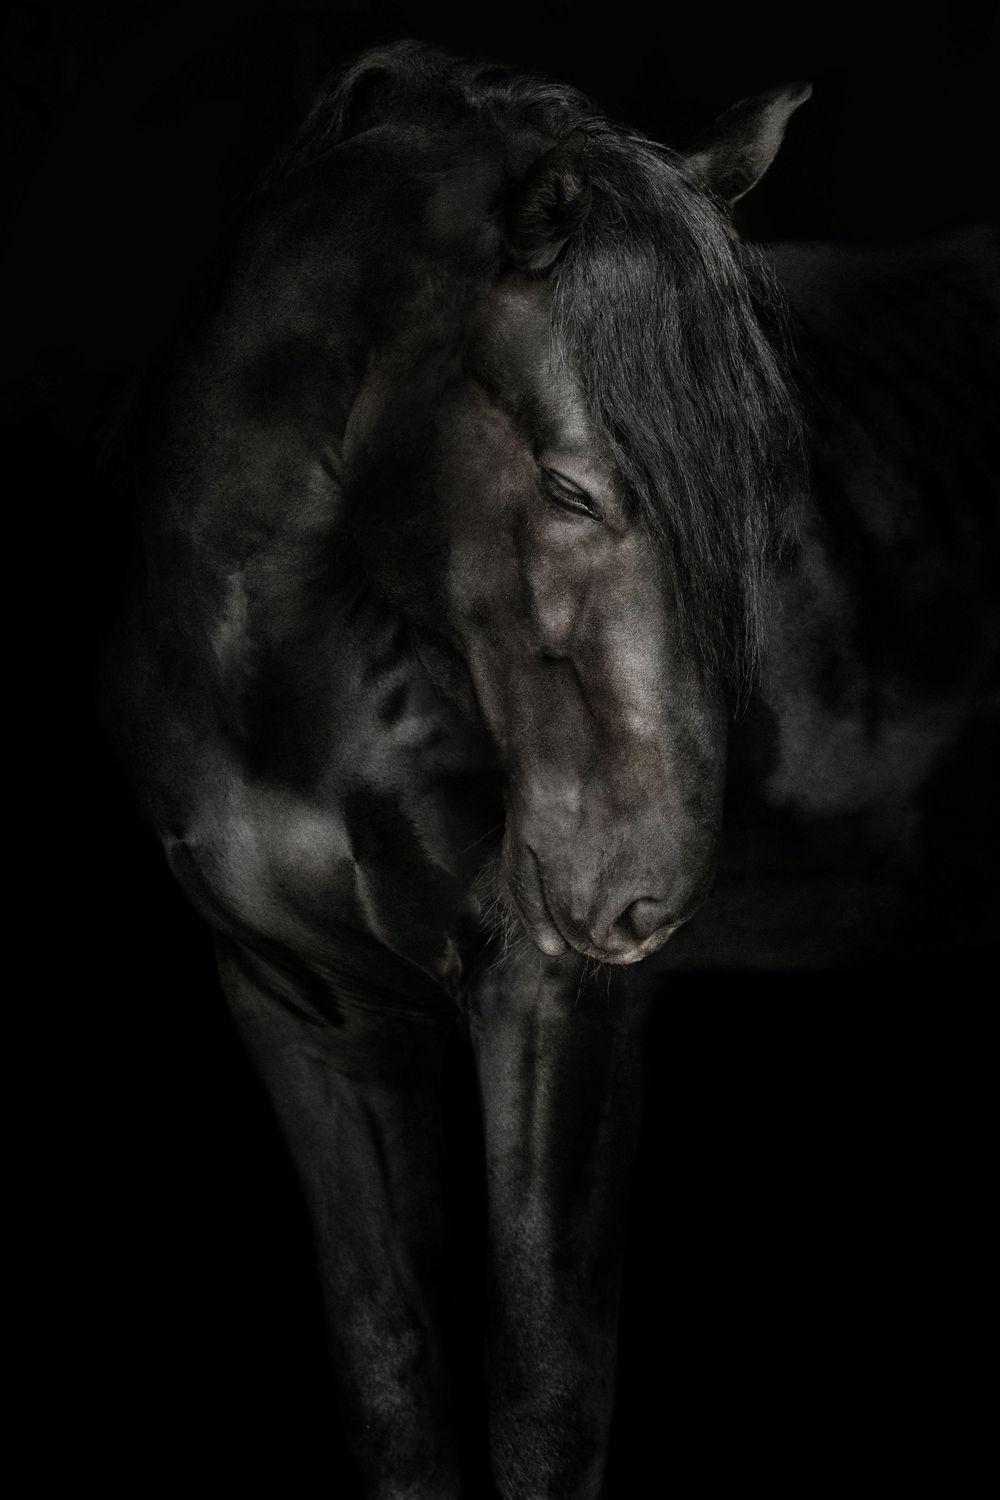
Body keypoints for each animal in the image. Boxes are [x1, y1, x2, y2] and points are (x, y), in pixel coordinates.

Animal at [101, 40, 1000, 1499]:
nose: (641, 898)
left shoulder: (552, 998)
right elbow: (395, 1382)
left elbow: (544, 1398)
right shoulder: (303, 1006)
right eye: (573, 491)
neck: (279, 679)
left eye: (763, 488)